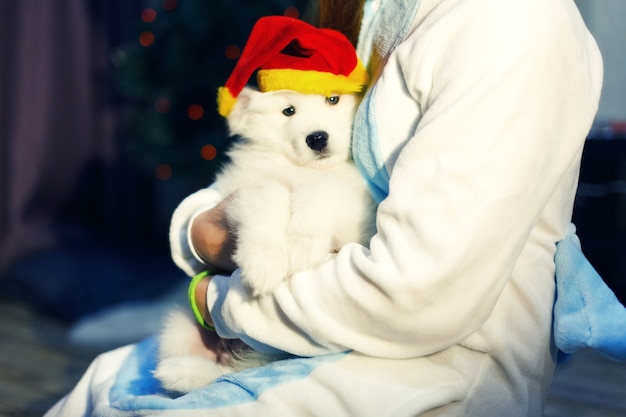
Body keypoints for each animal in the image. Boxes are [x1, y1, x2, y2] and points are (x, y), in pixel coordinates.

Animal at [152, 86, 376, 392]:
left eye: (333, 99)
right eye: (288, 111)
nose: (317, 138)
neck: (302, 170)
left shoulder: (356, 212)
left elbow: (321, 193)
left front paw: (302, 246)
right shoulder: (241, 190)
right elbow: (270, 194)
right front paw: (263, 264)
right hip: (178, 326)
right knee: (218, 375)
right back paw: (180, 371)